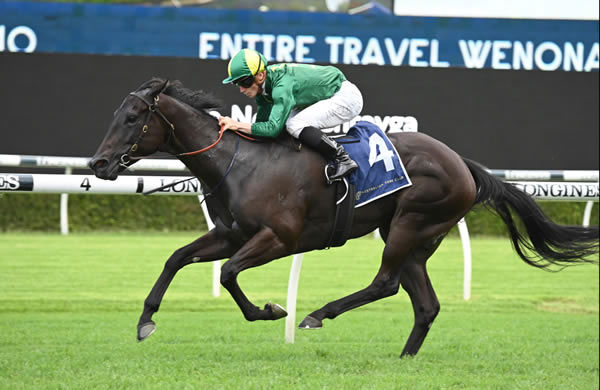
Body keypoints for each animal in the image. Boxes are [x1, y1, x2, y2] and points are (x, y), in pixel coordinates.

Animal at [89, 78, 600, 356]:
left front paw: (271, 311)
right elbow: (177, 258)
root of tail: (462, 164)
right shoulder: (232, 234)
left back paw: (317, 314)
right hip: (413, 236)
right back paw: (403, 360)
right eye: (115, 113)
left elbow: (231, 274)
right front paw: (146, 320)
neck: (240, 163)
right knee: (425, 303)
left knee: (386, 284)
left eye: (133, 117)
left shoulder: (279, 238)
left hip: (411, 223)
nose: (98, 163)